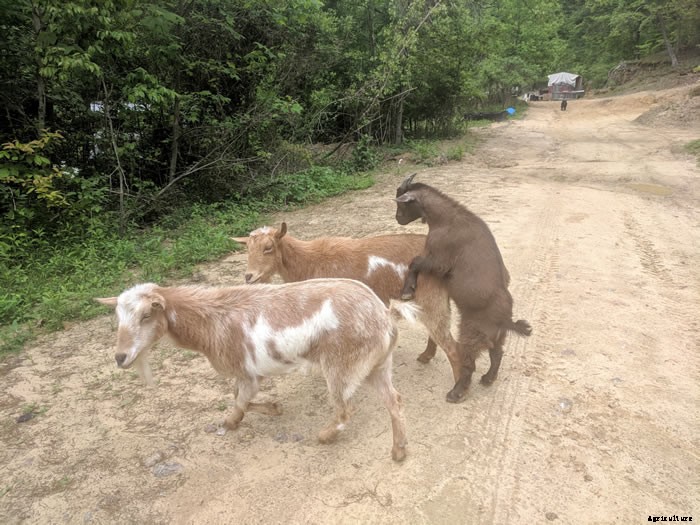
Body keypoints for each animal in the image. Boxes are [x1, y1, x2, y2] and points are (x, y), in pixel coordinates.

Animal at [96, 279, 420, 461]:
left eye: (146, 315)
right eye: (117, 318)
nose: (121, 357)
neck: (210, 321)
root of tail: (384, 315)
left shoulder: (245, 372)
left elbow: (240, 402)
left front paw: (232, 422)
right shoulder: (250, 374)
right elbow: (240, 396)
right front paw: (274, 408)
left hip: (342, 365)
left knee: (345, 409)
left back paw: (325, 436)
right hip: (377, 364)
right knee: (395, 400)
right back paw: (399, 450)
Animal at [232, 223, 466, 402]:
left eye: (268, 247)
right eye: (247, 249)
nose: (249, 276)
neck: (308, 262)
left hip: (431, 296)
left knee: (452, 346)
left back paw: (458, 390)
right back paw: (426, 356)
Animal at [394, 173, 532, 402]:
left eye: (401, 203)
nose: (397, 219)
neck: (445, 217)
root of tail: (505, 320)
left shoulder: (438, 259)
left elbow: (414, 262)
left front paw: (407, 290)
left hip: (471, 333)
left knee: (468, 362)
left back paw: (456, 392)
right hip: (497, 337)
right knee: (497, 354)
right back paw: (488, 379)